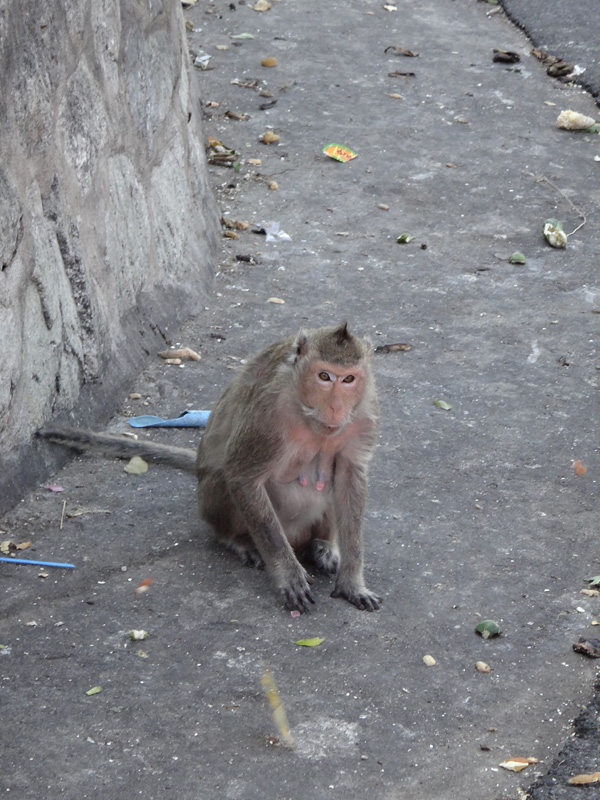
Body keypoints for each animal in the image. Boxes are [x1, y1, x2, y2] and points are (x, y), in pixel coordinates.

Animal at [39, 324, 382, 612]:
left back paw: (323, 545)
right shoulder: (269, 414)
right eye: (324, 377)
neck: (306, 411)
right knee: (223, 479)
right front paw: (288, 575)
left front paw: (352, 581)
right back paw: (238, 541)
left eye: (348, 379)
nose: (336, 407)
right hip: (216, 500)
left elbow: (351, 477)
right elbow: (241, 475)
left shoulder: (365, 411)